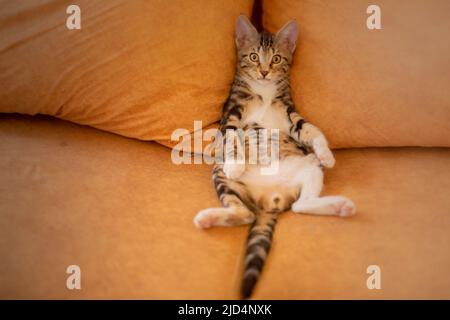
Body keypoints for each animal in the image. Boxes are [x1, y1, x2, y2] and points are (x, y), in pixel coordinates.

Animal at [193, 15, 356, 298]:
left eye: (277, 58)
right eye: (254, 56)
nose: (264, 71)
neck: (264, 92)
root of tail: (269, 200)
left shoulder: (290, 112)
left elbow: (310, 128)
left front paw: (327, 153)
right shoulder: (231, 114)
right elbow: (231, 137)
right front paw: (235, 163)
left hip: (308, 167)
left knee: (299, 205)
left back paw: (338, 205)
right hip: (220, 174)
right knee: (245, 212)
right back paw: (209, 216)